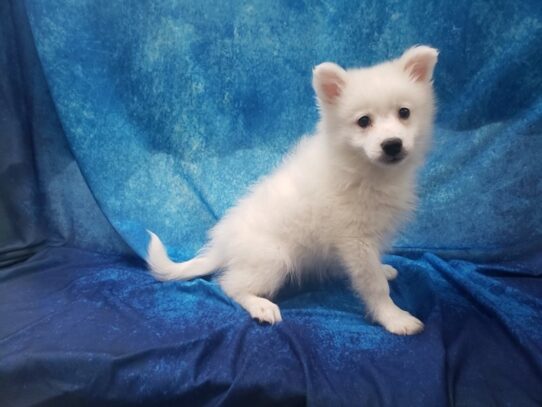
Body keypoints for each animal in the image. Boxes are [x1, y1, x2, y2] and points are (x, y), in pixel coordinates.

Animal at [148, 46, 438, 336]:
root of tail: (222, 247)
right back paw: (261, 306)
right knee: (230, 286)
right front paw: (394, 317)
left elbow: (375, 272)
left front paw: (384, 271)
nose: (392, 144)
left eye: (404, 112)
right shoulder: (356, 241)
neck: (364, 169)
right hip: (273, 259)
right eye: (364, 121)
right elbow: (375, 284)